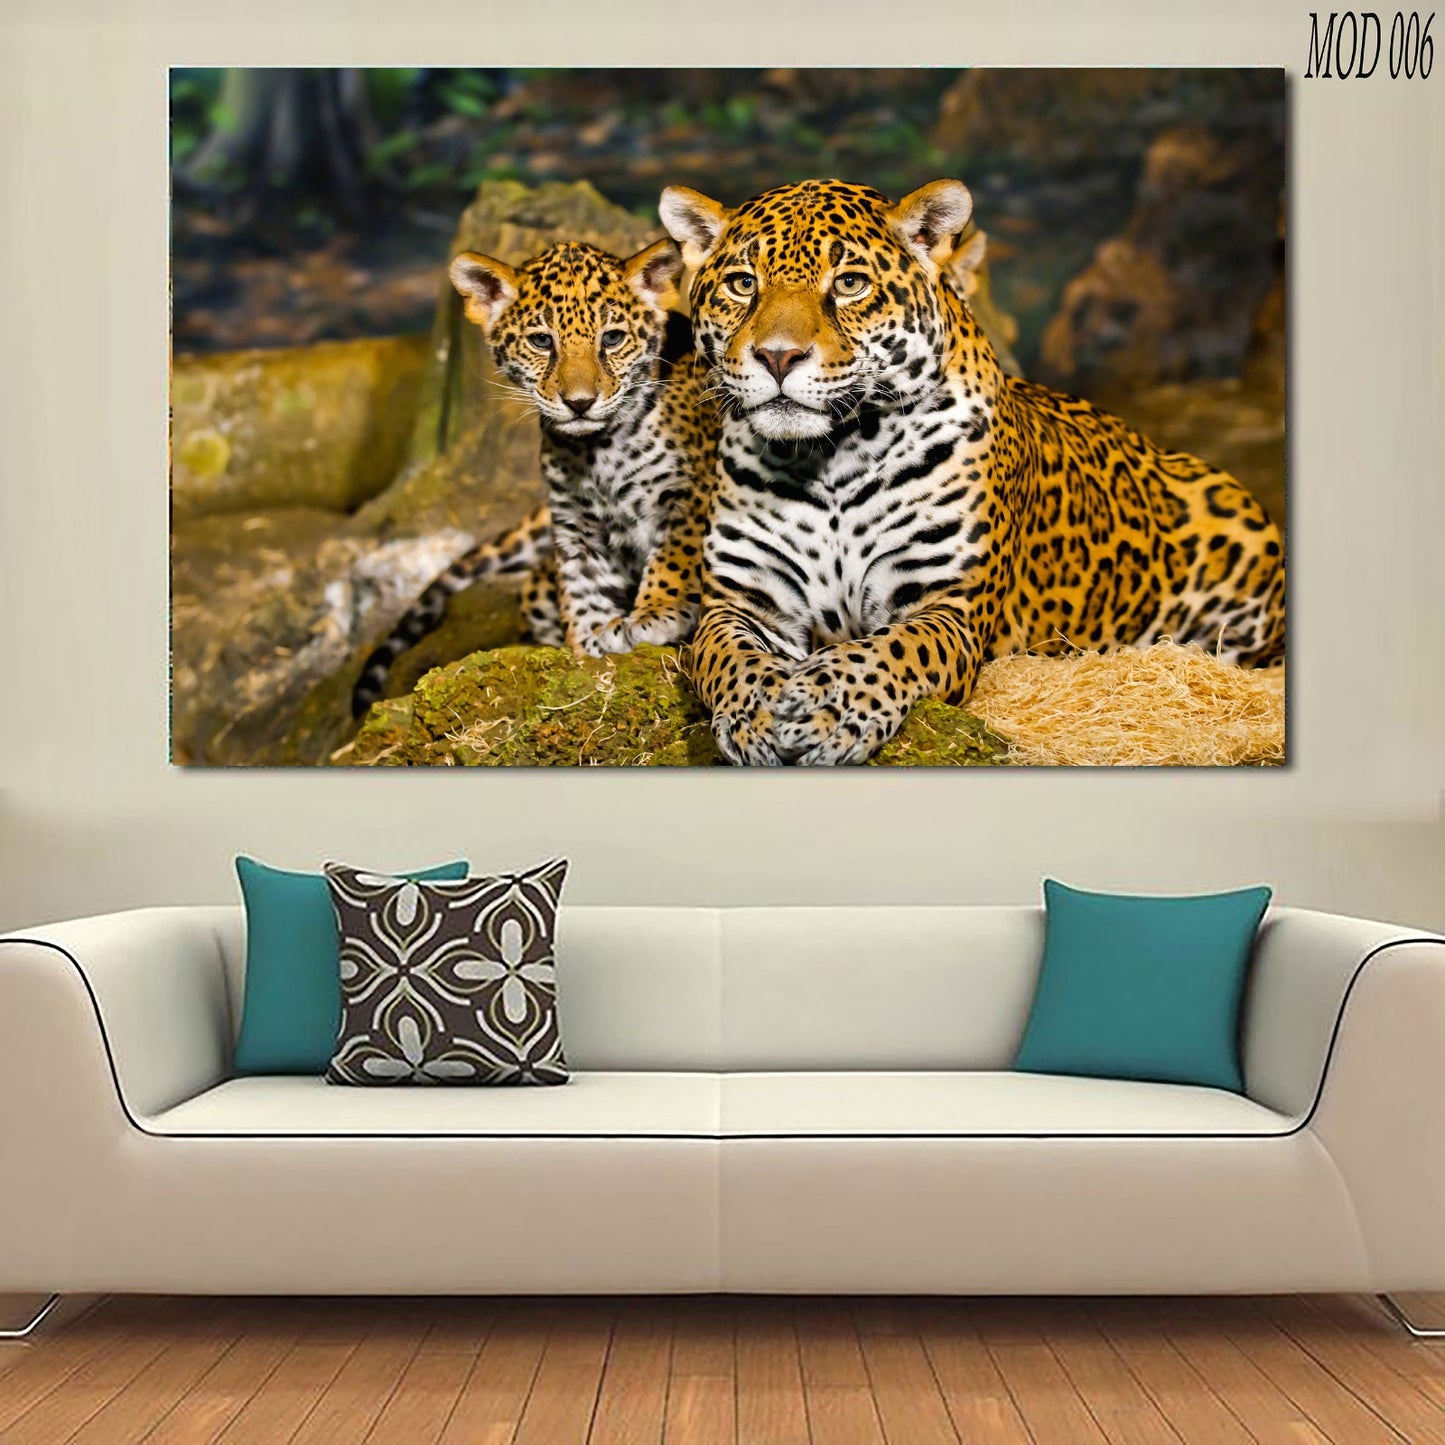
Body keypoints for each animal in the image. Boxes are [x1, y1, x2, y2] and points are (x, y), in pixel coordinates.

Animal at [350, 238, 716, 719]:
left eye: (612, 338)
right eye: (542, 341)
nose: (579, 403)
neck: (596, 451)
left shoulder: (689, 493)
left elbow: (675, 555)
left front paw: (657, 613)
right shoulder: (576, 525)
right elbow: (583, 586)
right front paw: (586, 645)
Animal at [659, 177, 1286, 766]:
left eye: (850, 284)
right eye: (743, 284)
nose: (778, 356)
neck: (829, 458)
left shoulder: (947, 605)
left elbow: (882, 652)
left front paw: (826, 710)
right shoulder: (739, 602)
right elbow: (729, 659)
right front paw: (756, 715)